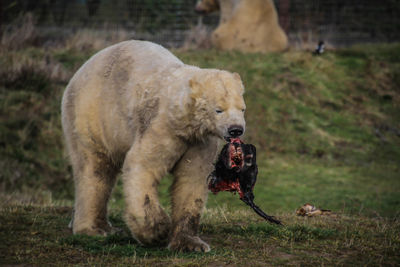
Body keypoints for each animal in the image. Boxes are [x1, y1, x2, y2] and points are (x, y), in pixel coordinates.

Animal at [61, 40, 245, 253]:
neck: (181, 117)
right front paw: (158, 231)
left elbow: (192, 179)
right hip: (91, 115)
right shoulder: (161, 127)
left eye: (242, 108)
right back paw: (93, 229)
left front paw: (190, 243)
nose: (236, 129)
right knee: (94, 169)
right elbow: (143, 166)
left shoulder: (199, 141)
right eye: (219, 110)